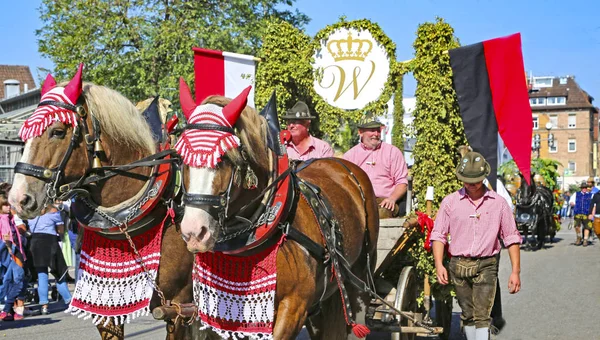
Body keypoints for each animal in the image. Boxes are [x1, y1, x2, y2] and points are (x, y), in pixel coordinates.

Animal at [176, 83, 380, 338]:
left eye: (223, 158)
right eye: (181, 158)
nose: (194, 232)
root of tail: (343, 165)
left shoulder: (294, 307)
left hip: (361, 275)